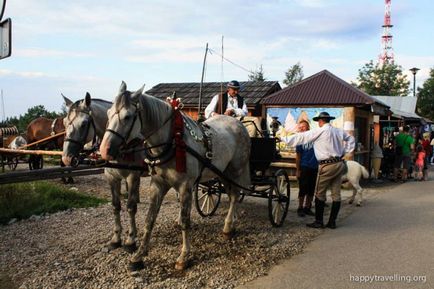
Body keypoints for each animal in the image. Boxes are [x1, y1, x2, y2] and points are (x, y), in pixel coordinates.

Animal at [61, 93, 143, 252]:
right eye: (64, 122)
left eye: (84, 123)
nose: (66, 158)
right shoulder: (111, 177)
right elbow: (115, 206)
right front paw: (116, 239)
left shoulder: (133, 176)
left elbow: (130, 208)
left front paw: (131, 240)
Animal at [99, 80, 251, 270]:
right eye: (108, 113)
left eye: (127, 116)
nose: (104, 150)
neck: (172, 141)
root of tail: (237, 123)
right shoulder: (157, 185)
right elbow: (149, 219)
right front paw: (139, 255)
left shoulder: (185, 187)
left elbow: (185, 221)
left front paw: (184, 256)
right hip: (222, 172)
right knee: (231, 195)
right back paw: (231, 223)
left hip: (235, 170)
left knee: (235, 195)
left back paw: (229, 226)